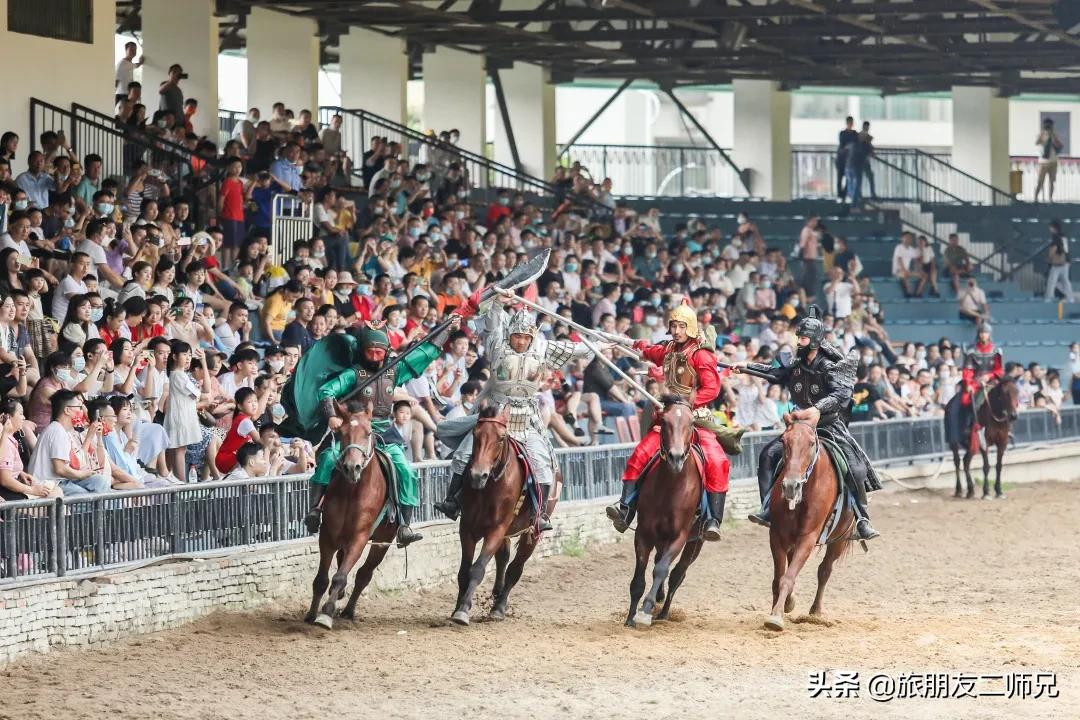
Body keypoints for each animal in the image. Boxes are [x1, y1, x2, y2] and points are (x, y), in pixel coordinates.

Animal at [302, 403, 395, 626]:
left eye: (368, 432)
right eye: (341, 433)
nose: (352, 467)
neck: (353, 491)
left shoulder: (358, 538)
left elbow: (340, 576)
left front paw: (326, 614)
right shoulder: (327, 535)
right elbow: (321, 580)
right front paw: (312, 613)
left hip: (382, 541)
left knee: (364, 574)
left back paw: (348, 610)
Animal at [449, 408, 548, 626]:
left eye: (501, 437)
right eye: (475, 434)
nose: (478, 475)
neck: (488, 489)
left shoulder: (496, 529)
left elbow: (477, 569)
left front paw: (463, 610)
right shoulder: (466, 528)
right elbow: (463, 572)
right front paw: (457, 608)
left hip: (531, 533)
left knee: (515, 568)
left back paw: (499, 608)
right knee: (503, 558)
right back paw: (496, 595)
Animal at [626, 397, 708, 626]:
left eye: (691, 423)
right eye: (663, 421)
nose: (676, 457)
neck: (670, 487)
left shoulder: (680, 537)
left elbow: (662, 570)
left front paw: (646, 609)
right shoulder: (644, 533)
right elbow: (638, 580)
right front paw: (630, 618)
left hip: (695, 543)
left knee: (677, 575)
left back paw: (663, 612)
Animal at [764, 416, 855, 630]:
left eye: (812, 443)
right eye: (783, 441)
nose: (791, 486)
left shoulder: (808, 538)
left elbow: (787, 578)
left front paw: (776, 617)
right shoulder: (777, 536)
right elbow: (779, 578)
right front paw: (780, 607)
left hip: (840, 539)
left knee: (825, 570)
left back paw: (816, 611)